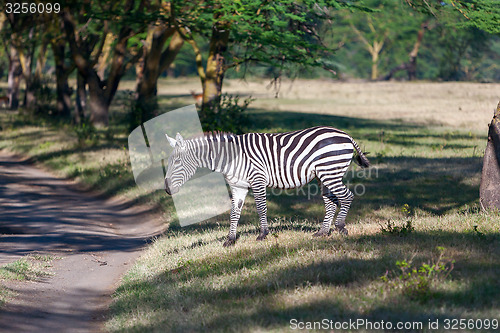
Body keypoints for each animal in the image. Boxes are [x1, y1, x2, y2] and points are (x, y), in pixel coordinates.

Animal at [165, 126, 372, 245]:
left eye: (177, 162)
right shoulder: (238, 186)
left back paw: (340, 226)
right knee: (330, 201)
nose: (167, 189)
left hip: (330, 171)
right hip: (323, 175)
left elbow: (261, 208)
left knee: (347, 196)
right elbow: (234, 212)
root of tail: (345, 135)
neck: (231, 158)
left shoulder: (257, 179)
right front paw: (230, 240)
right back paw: (322, 232)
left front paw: (263, 234)